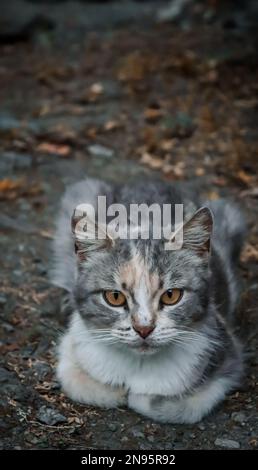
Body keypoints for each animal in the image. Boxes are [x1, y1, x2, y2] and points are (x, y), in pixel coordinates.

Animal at [51, 178, 246, 424]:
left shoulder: (227, 356)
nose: (143, 328)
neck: (139, 365)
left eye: (171, 295)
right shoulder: (73, 346)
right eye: (114, 297)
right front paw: (117, 391)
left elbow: (186, 406)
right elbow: (78, 381)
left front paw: (140, 397)